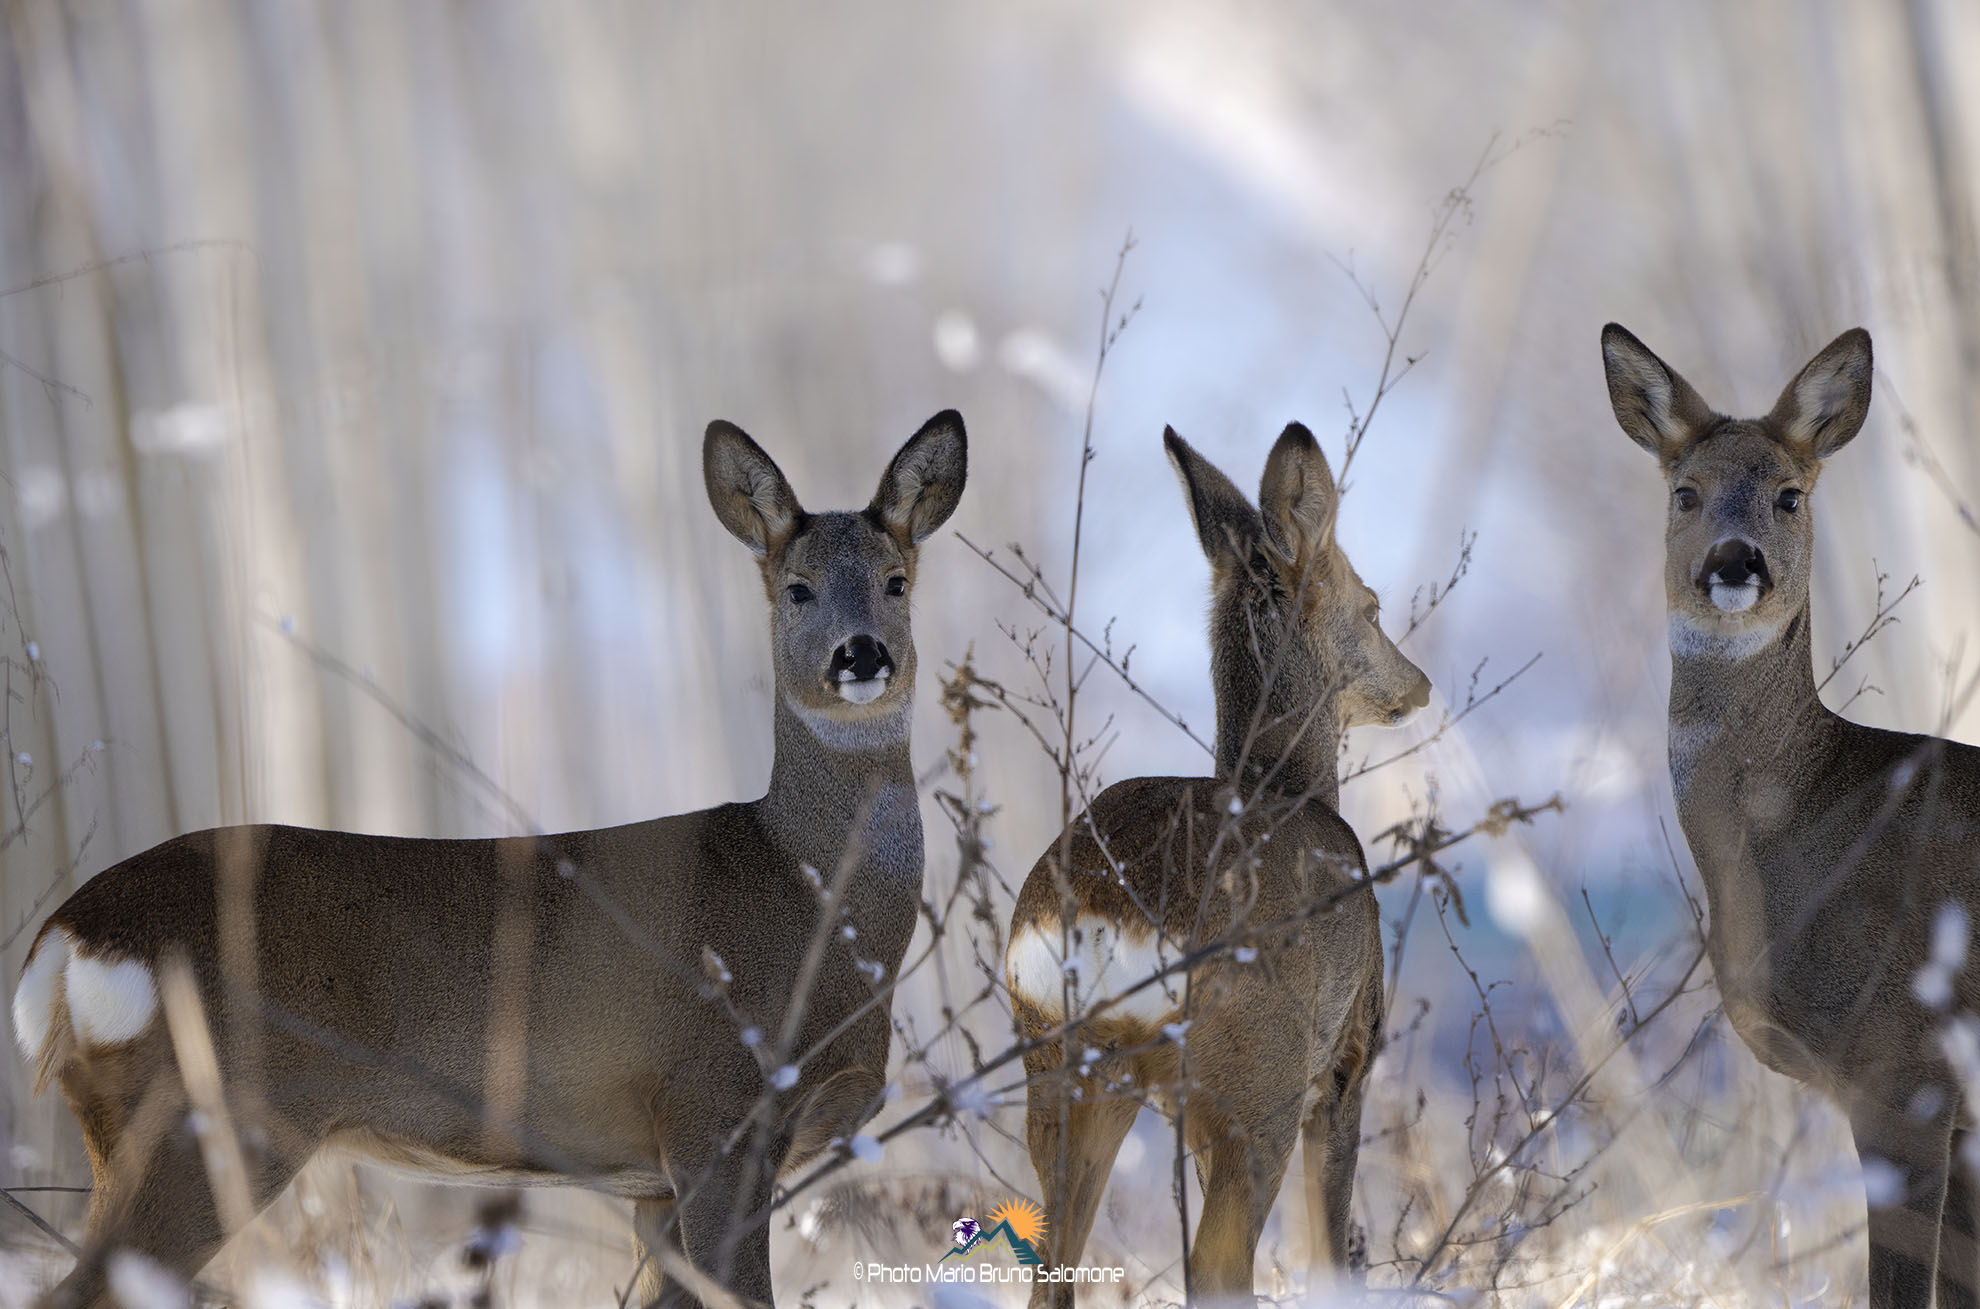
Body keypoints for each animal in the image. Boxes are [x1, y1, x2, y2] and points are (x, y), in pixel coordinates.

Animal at [9, 411, 967, 1308]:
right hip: (205, 1118)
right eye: (798, 589)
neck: (811, 905)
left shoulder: (652, 1177)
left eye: (896, 581)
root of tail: (64, 936)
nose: (861, 654)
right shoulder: (715, 1114)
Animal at [1002, 422, 1431, 1305]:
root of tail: (1106, 914)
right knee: (1217, 1263)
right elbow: (1329, 1237)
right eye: (1372, 606)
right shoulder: (1348, 1052)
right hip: (1254, 1077)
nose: (1420, 684)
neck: (1289, 781)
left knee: (1054, 1260)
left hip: (1063, 1061)